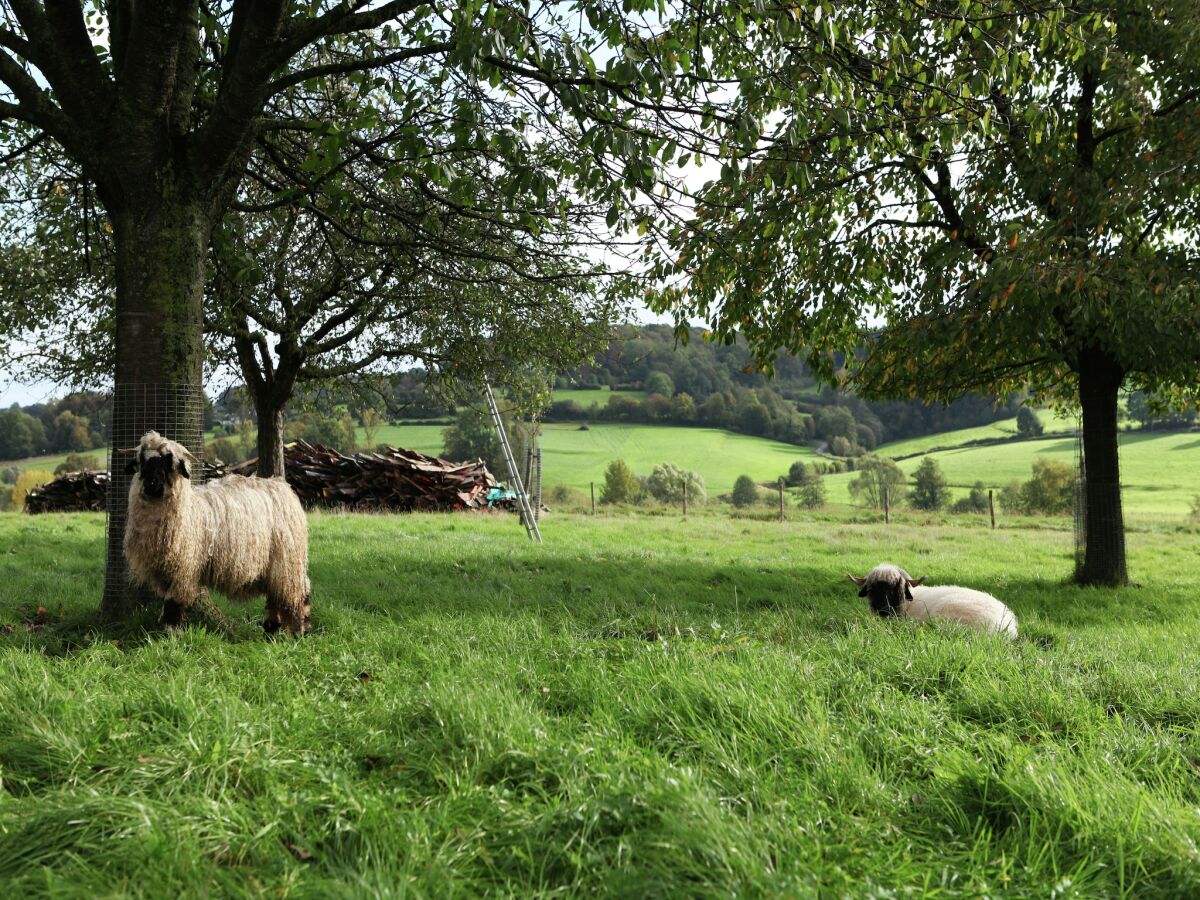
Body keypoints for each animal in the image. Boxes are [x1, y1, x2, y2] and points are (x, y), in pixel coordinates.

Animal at [120, 434, 309, 638]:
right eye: (142, 461)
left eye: (169, 462)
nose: (152, 484)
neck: (189, 512)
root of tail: (283, 486)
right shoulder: (165, 572)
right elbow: (167, 602)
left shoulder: (184, 569)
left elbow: (173, 604)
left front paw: (173, 636)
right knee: (275, 596)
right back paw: (271, 631)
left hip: (288, 560)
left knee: (297, 592)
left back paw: (299, 632)